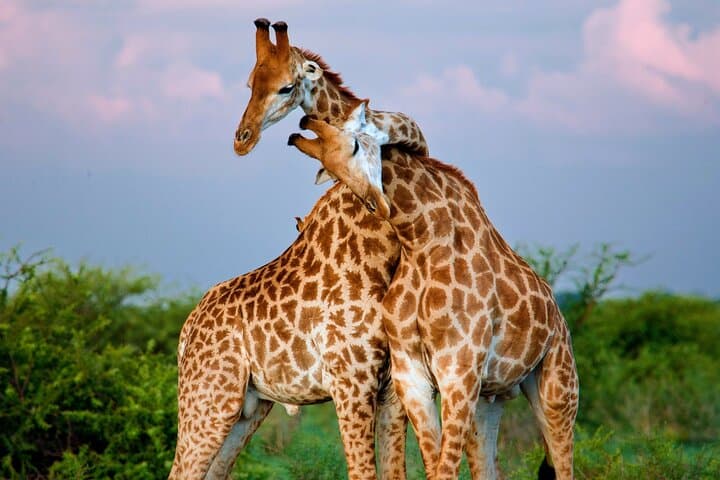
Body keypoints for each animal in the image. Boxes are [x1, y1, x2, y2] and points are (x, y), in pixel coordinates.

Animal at [288, 102, 580, 480]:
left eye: (354, 146)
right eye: (331, 171)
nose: (376, 203)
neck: (422, 244)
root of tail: (559, 316)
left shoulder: (459, 372)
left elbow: (444, 468)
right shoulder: (412, 375)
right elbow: (434, 464)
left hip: (558, 386)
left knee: (563, 459)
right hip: (490, 398)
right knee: (489, 464)